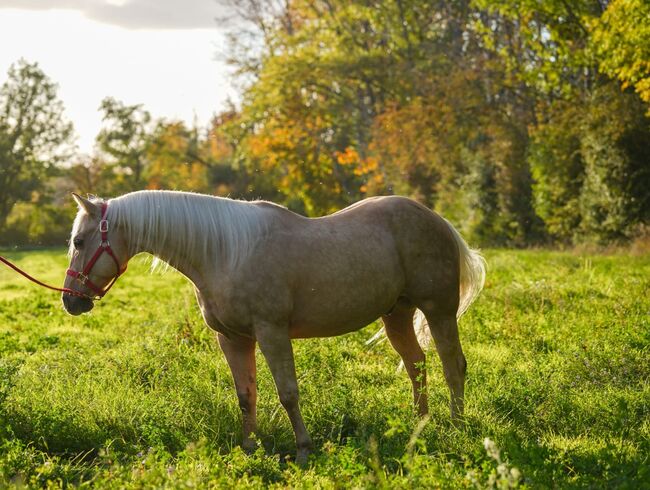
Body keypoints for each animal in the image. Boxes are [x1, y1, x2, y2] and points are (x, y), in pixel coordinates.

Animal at [63, 189, 484, 466]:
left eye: (79, 240)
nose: (71, 301)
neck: (224, 252)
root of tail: (438, 220)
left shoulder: (272, 333)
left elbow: (288, 394)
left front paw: (303, 451)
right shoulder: (233, 339)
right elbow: (245, 395)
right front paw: (250, 449)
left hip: (439, 311)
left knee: (453, 366)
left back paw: (457, 427)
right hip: (397, 315)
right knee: (417, 365)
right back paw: (419, 426)